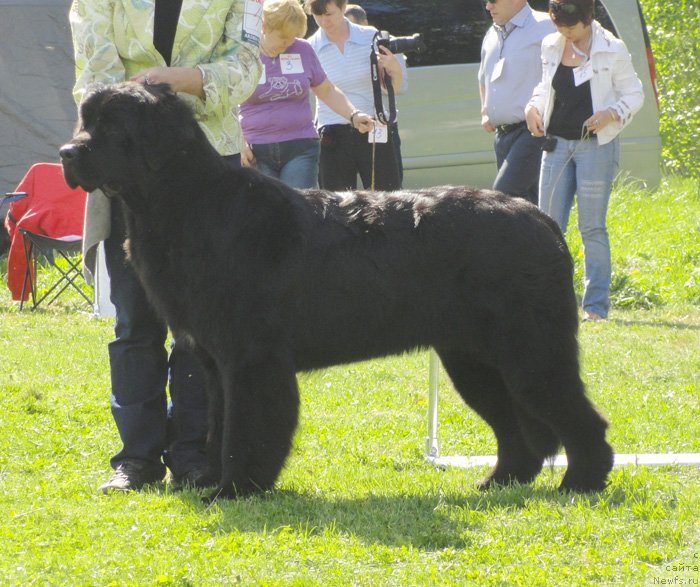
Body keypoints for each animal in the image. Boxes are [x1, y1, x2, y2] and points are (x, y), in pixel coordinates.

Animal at [63, 82, 616, 500]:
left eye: (112, 128)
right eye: (84, 121)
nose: (69, 153)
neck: (185, 203)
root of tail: (540, 218)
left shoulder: (251, 360)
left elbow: (246, 430)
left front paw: (234, 490)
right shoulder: (217, 363)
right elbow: (220, 428)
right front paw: (217, 484)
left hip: (530, 350)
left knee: (578, 420)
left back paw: (580, 483)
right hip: (474, 360)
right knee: (517, 430)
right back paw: (499, 482)